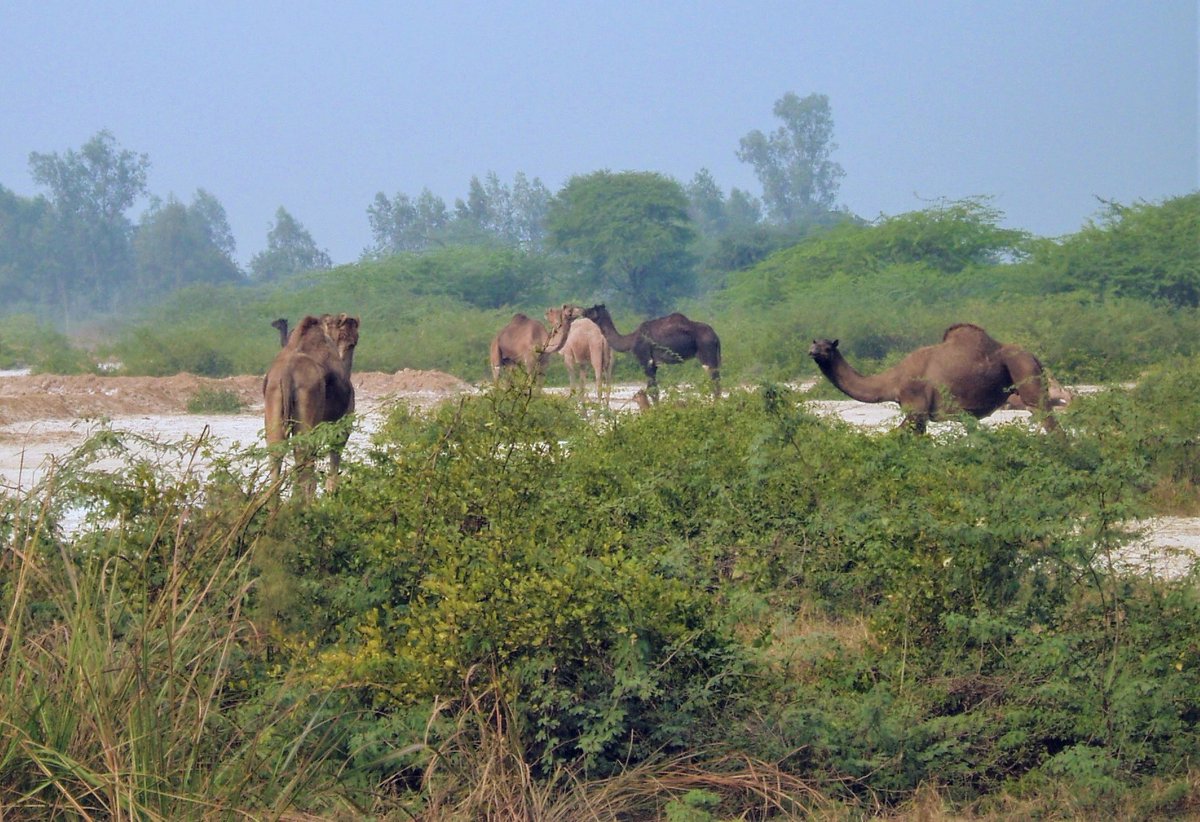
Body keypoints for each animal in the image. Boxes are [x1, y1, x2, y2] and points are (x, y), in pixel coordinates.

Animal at [263, 313, 360, 498]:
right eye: (352, 341)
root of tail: (287, 374)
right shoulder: (342, 425)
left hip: (273, 399)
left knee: (276, 456)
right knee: (305, 466)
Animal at [581, 304, 721, 400]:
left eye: (591, 310)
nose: (582, 311)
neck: (630, 340)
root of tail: (716, 336)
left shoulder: (645, 359)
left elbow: (652, 390)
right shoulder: (654, 364)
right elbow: (654, 389)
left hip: (707, 354)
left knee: (715, 383)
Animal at [808, 323, 1058, 433]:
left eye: (827, 348)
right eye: (814, 344)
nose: (812, 352)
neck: (893, 381)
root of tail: (1034, 357)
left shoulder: (916, 408)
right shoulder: (921, 415)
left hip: (1024, 371)